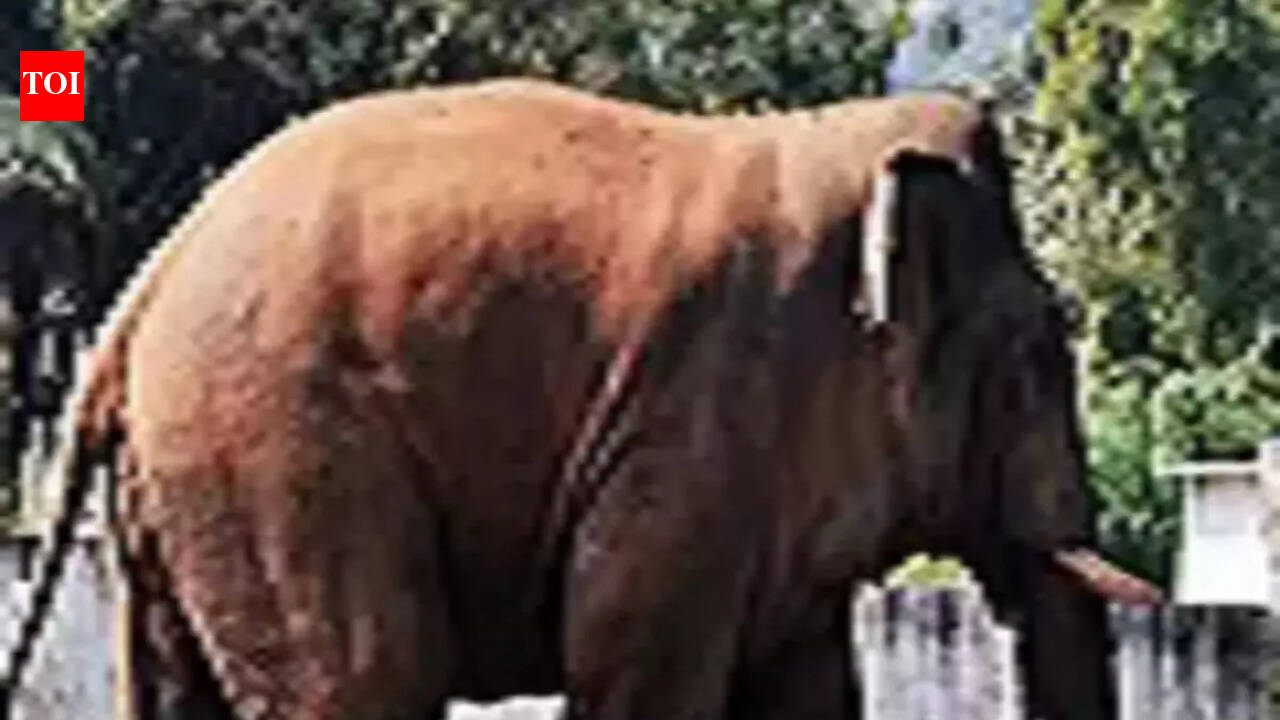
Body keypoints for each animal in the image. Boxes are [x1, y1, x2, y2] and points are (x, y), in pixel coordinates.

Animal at [3, 79, 1158, 720]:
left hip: (181, 485)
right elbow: (634, 672)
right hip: (279, 451)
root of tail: (143, 290)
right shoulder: (693, 426)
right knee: (370, 677)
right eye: (1034, 358)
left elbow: (806, 690)